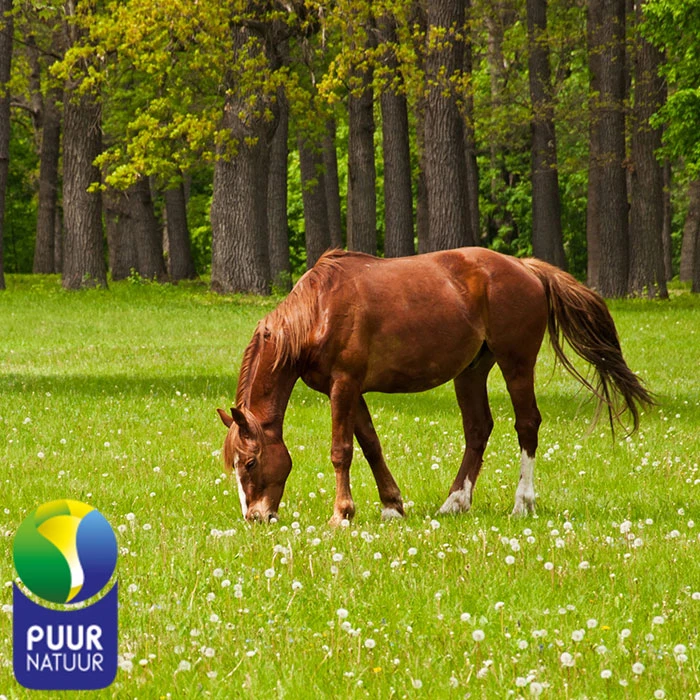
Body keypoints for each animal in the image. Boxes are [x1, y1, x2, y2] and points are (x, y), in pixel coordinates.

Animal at [217, 248, 653, 524]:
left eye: (251, 463)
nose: (255, 517)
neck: (318, 309)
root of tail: (525, 267)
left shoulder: (344, 385)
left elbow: (342, 451)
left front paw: (342, 514)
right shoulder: (347, 389)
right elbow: (371, 445)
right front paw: (392, 506)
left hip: (516, 363)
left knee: (527, 424)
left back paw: (522, 503)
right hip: (471, 371)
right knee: (478, 429)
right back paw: (455, 502)